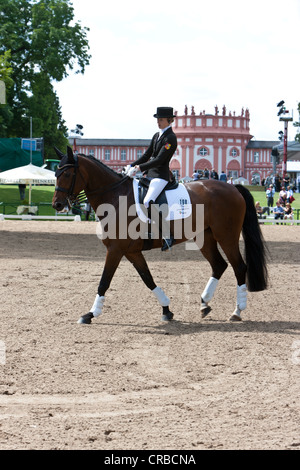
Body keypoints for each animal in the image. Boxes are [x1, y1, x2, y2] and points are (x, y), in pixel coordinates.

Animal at [52, 147, 270, 324]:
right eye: (56, 173)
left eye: (68, 173)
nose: (57, 205)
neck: (115, 197)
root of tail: (233, 187)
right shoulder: (131, 251)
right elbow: (148, 279)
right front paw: (167, 309)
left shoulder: (115, 250)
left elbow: (104, 281)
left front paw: (90, 314)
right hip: (205, 238)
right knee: (219, 265)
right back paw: (204, 304)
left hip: (227, 236)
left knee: (239, 267)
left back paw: (237, 311)